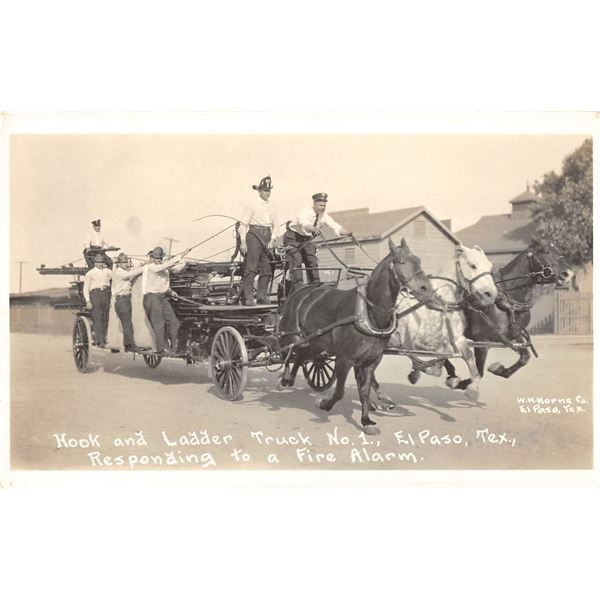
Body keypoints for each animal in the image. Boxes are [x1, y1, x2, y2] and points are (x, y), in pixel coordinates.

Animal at [276, 237, 436, 434]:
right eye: (401, 261)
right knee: (286, 352)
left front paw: (366, 420)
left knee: (301, 356)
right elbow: (339, 392)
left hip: (315, 343)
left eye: (418, 260)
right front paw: (324, 403)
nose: (426, 289)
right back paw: (284, 379)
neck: (369, 313)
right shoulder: (344, 359)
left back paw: (289, 379)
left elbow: (365, 391)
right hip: (291, 335)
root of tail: (299, 292)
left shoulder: (371, 361)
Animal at [442, 239, 576, 390]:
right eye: (545, 250)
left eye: (560, 250)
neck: (505, 301)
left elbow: (525, 357)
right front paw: (459, 382)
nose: (568, 274)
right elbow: (479, 373)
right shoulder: (482, 340)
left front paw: (499, 369)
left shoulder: (513, 335)